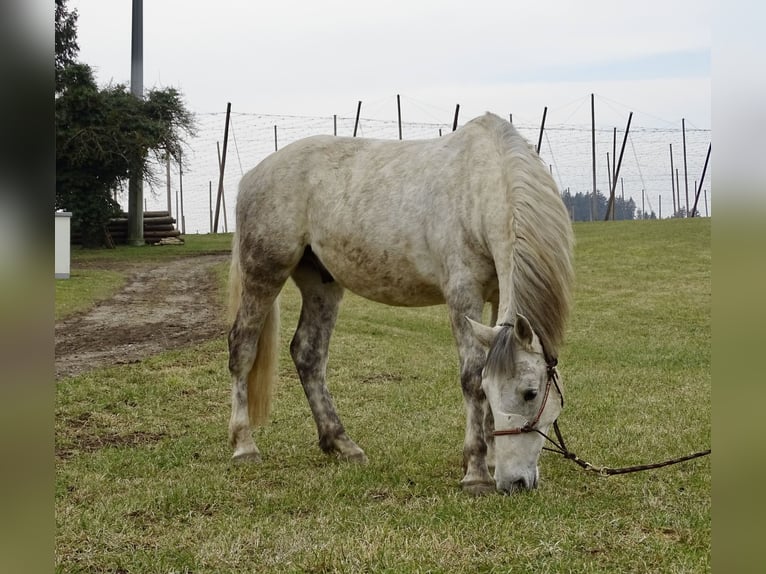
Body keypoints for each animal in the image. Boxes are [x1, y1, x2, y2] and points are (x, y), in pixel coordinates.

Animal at [228, 112, 576, 496]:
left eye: (530, 393)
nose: (513, 483)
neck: (479, 183)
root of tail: (254, 175)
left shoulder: (498, 294)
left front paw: (489, 460)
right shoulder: (462, 292)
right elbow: (470, 376)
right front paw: (476, 472)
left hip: (321, 285)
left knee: (308, 354)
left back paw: (342, 444)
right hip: (264, 274)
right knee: (242, 348)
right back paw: (244, 445)